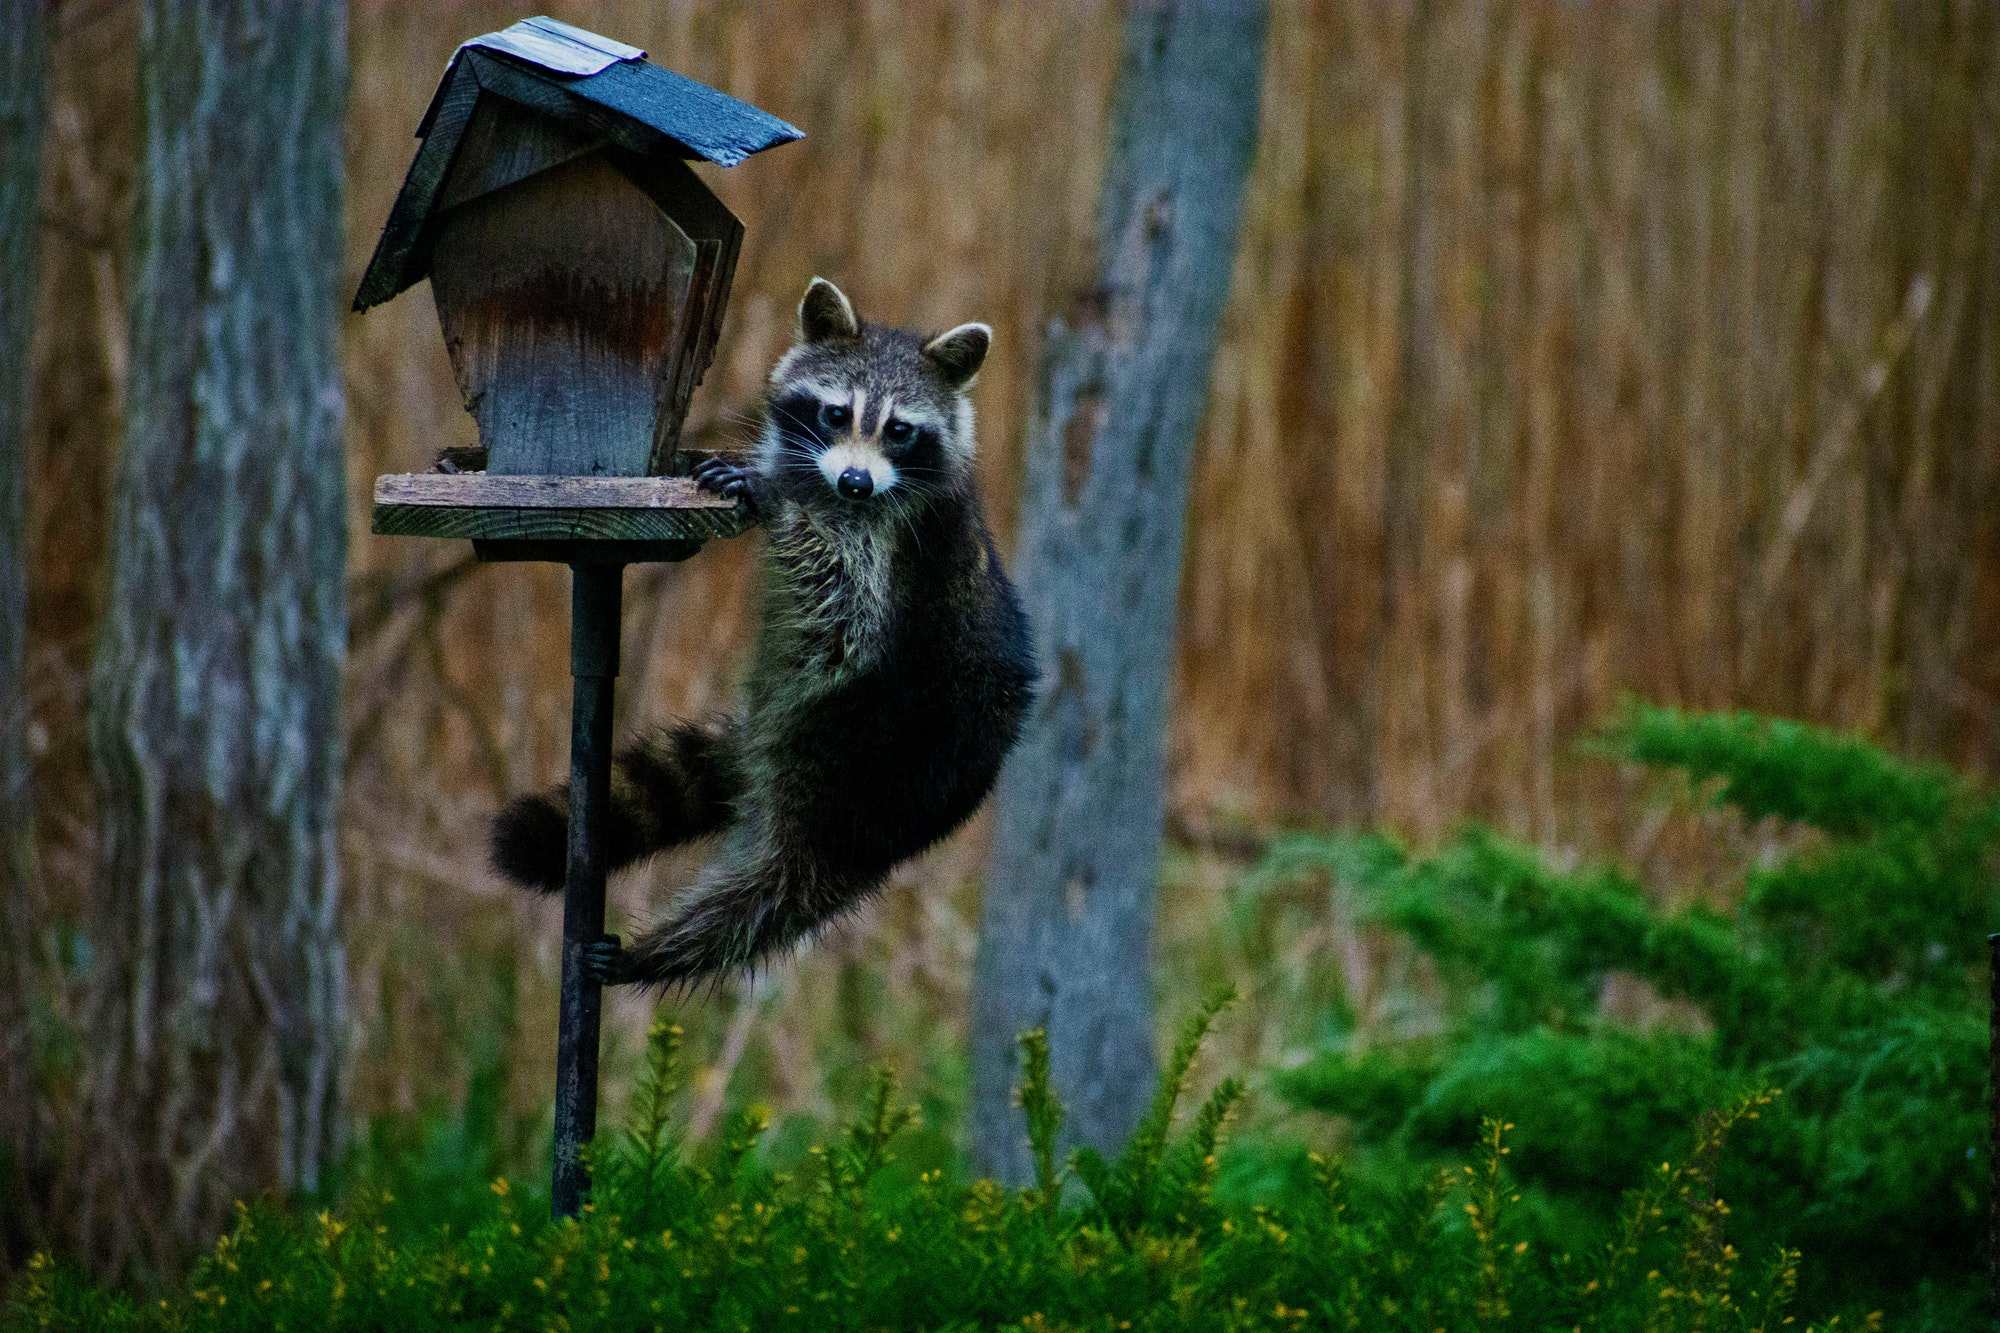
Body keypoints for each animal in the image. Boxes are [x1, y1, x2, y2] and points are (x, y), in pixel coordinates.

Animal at [492, 278, 1040, 984]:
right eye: (836, 413)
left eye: (899, 429)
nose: (855, 480)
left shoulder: (893, 540)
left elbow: (847, 623)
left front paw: (777, 499)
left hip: (861, 775)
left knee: (772, 896)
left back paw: (664, 952)